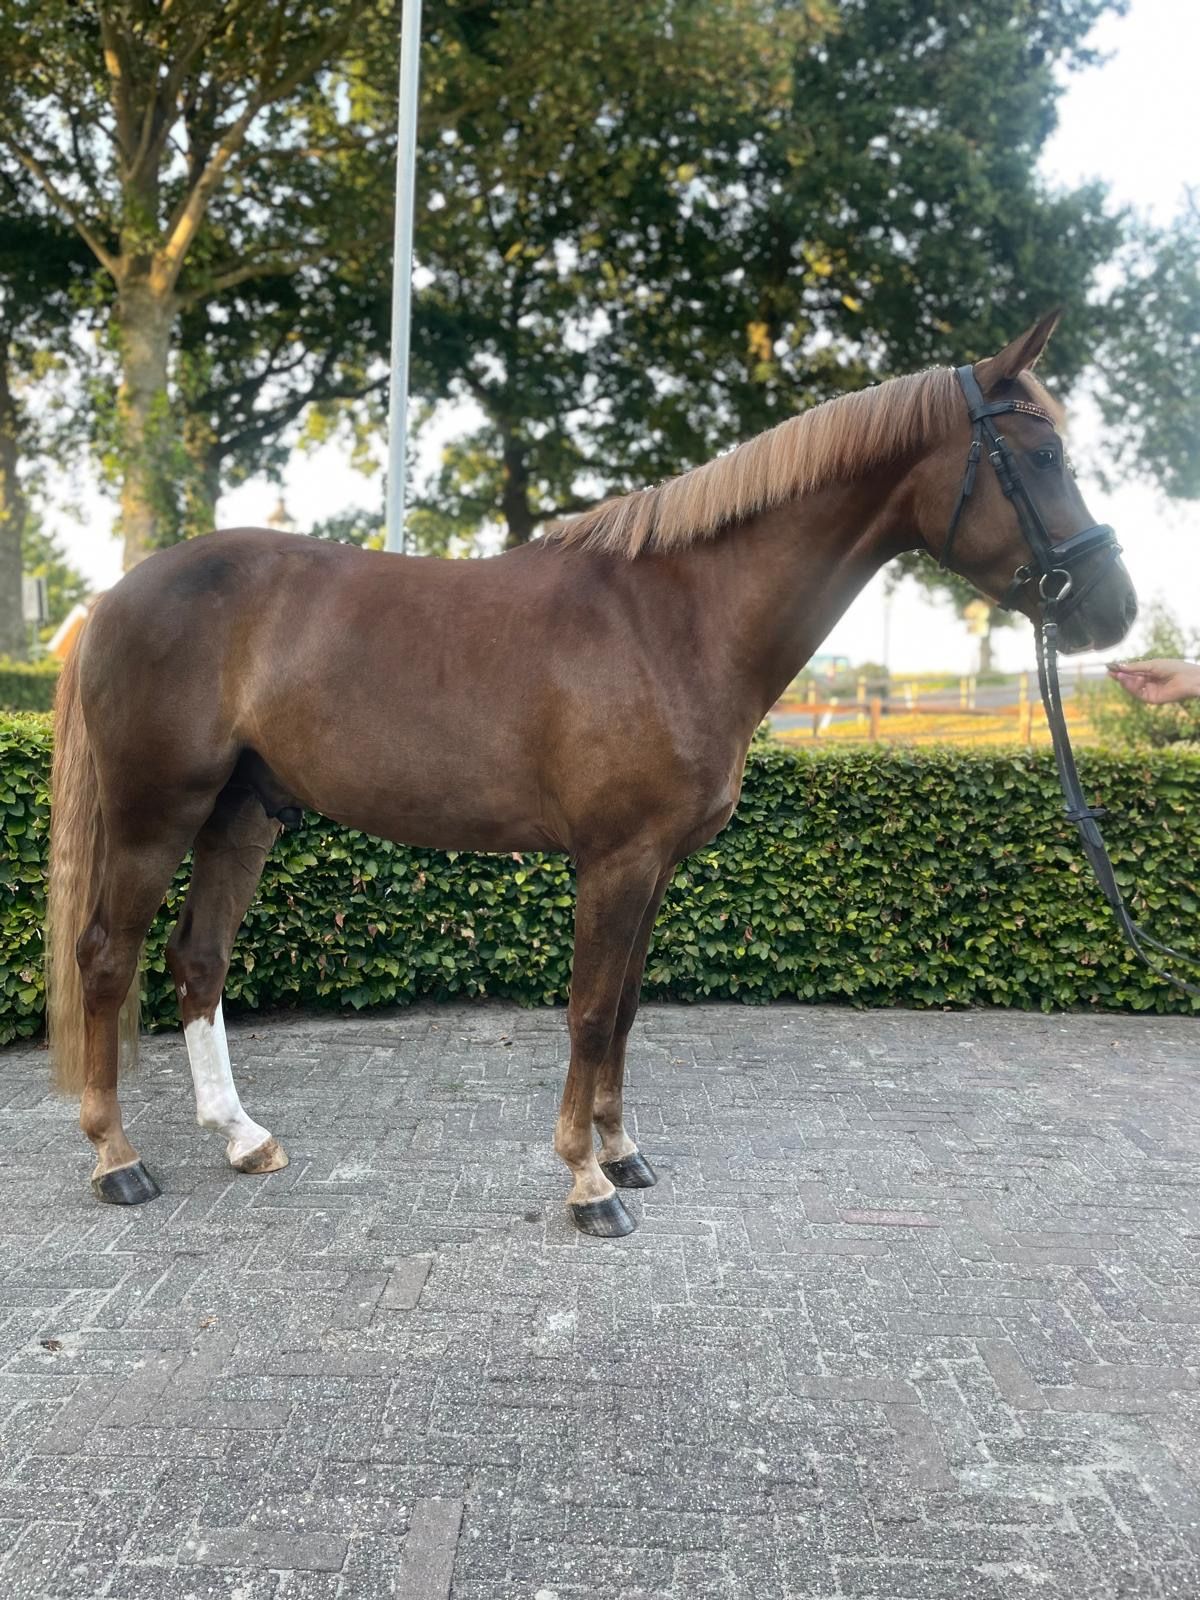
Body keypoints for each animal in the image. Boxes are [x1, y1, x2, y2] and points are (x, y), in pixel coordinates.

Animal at [46, 312, 1138, 1237]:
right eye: (1040, 457)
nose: (1115, 609)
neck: (677, 618)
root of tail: (113, 596)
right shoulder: (614, 860)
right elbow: (588, 1009)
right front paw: (585, 1181)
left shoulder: (653, 866)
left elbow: (624, 1010)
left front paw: (622, 1151)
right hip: (155, 813)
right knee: (106, 955)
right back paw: (116, 1160)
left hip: (241, 813)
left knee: (198, 959)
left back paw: (242, 1138)